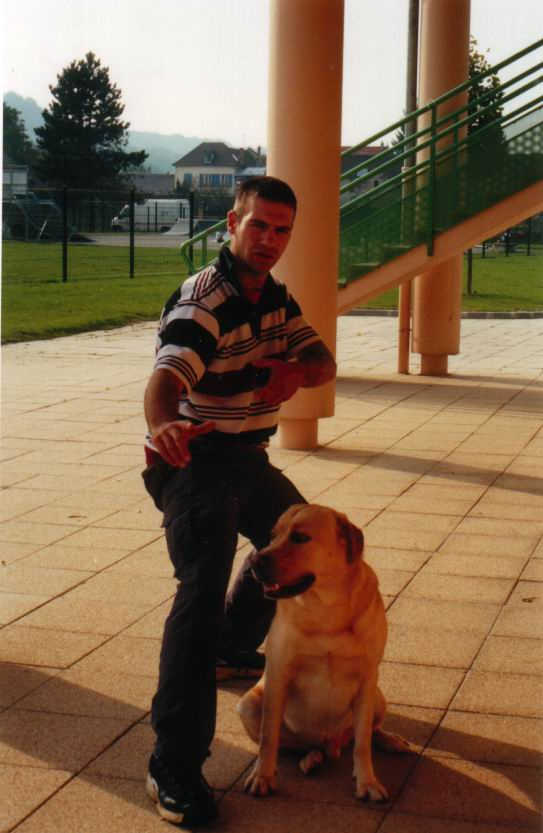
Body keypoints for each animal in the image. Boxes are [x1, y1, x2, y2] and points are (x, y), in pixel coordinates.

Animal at [237, 504, 409, 802]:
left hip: (377, 697)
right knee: (293, 745)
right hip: (248, 704)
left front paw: (367, 781)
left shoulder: (367, 680)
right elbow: (269, 737)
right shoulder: (278, 675)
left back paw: (389, 740)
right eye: (273, 535)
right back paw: (311, 758)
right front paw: (262, 777)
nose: (256, 561)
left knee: (367, 732)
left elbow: (362, 743)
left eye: (300, 538)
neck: (327, 609)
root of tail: (331, 743)